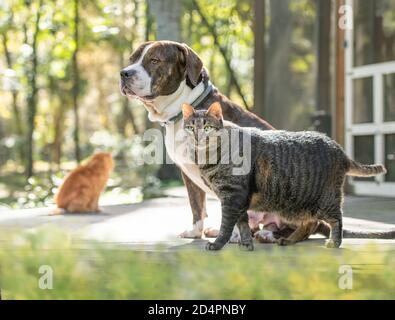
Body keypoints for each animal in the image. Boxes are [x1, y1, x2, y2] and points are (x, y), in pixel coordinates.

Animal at [182, 102, 386, 250]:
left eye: (207, 127)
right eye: (190, 127)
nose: (197, 137)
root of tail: (340, 150)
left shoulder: (232, 196)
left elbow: (226, 226)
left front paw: (217, 244)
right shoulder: (238, 200)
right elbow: (243, 225)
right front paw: (246, 244)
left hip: (325, 200)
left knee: (336, 219)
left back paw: (333, 243)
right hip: (299, 207)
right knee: (309, 224)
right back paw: (288, 240)